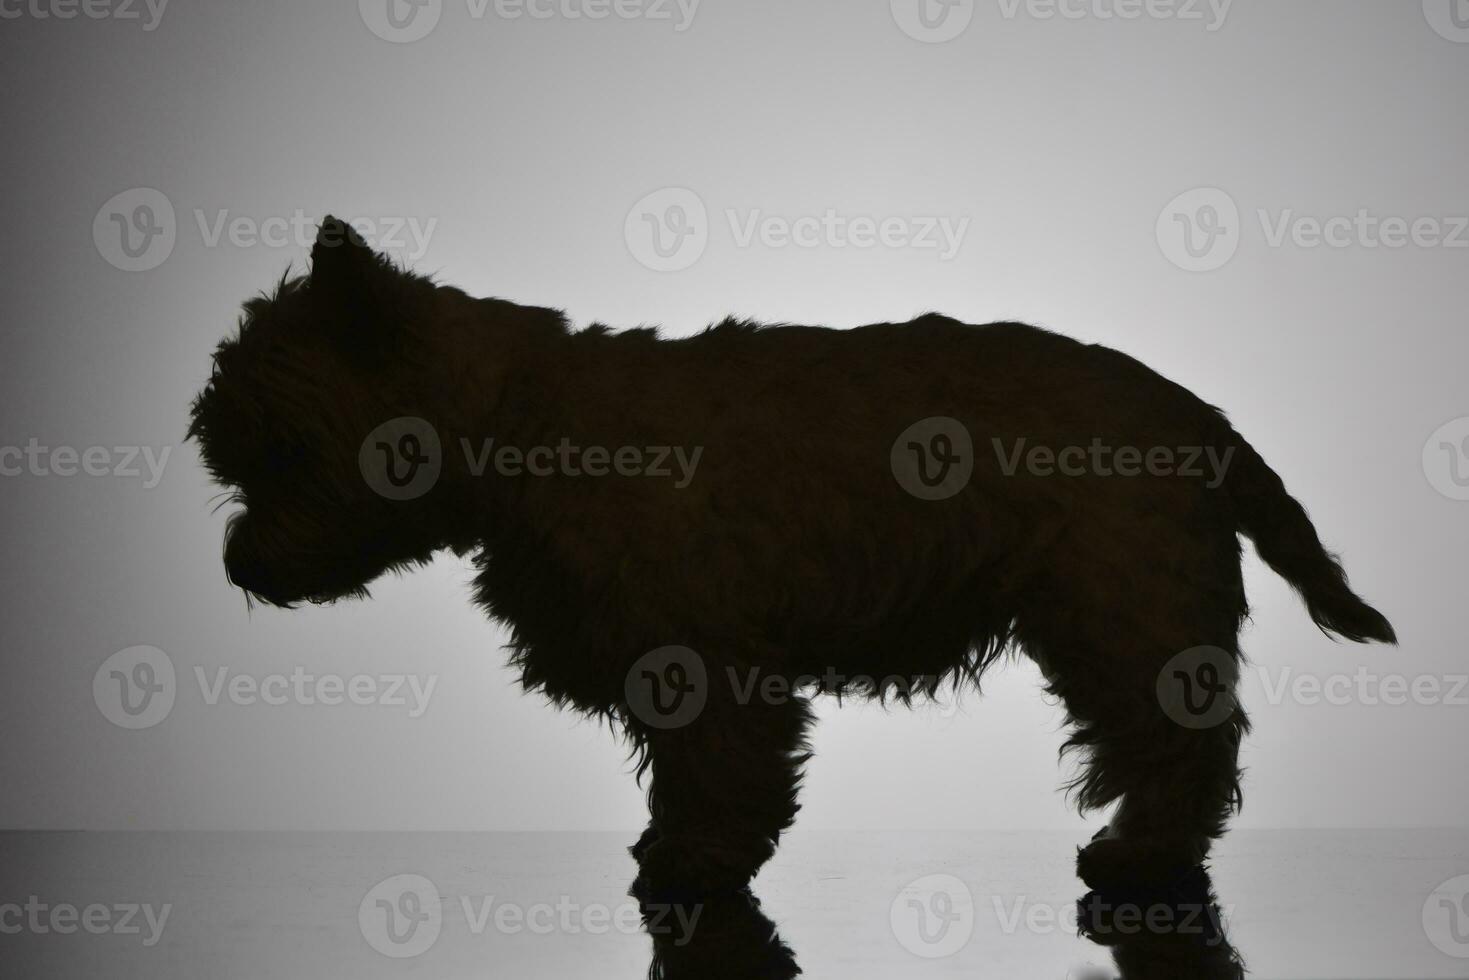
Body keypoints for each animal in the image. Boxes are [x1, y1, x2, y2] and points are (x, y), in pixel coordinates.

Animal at [189, 215, 1392, 905]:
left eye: (281, 447)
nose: (239, 566)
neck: (521, 423)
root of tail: (1195, 414)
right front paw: (672, 847)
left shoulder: (705, 657)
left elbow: (721, 770)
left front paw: (697, 861)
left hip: (1119, 609)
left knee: (1179, 743)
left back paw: (1141, 854)